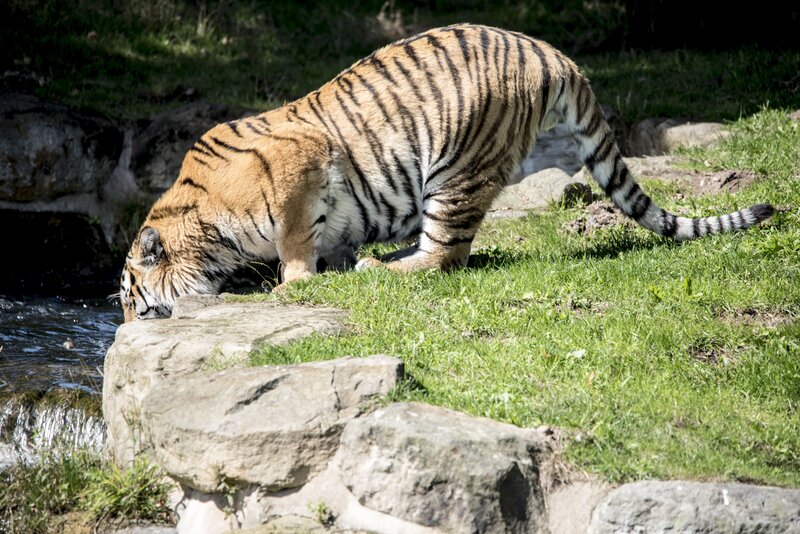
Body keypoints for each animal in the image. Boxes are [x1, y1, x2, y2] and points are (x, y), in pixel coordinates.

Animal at [119, 23, 774, 322]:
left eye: (129, 298)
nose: (126, 325)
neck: (205, 226)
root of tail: (550, 50)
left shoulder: (299, 164)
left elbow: (296, 238)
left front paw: (295, 284)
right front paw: (330, 266)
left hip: (455, 167)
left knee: (445, 256)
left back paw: (381, 268)